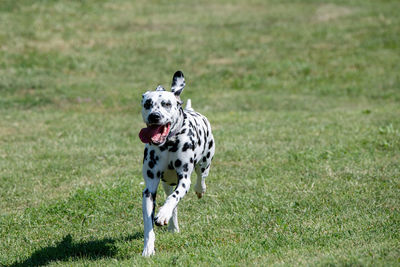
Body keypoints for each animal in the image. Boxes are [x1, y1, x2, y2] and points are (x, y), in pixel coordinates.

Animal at [140, 71, 216, 258]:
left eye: (166, 104)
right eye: (148, 104)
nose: (154, 116)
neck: (168, 144)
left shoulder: (184, 179)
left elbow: (174, 197)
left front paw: (163, 213)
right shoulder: (149, 189)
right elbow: (149, 223)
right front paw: (148, 248)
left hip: (205, 162)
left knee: (200, 178)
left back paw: (200, 190)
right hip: (167, 183)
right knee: (172, 202)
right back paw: (172, 224)